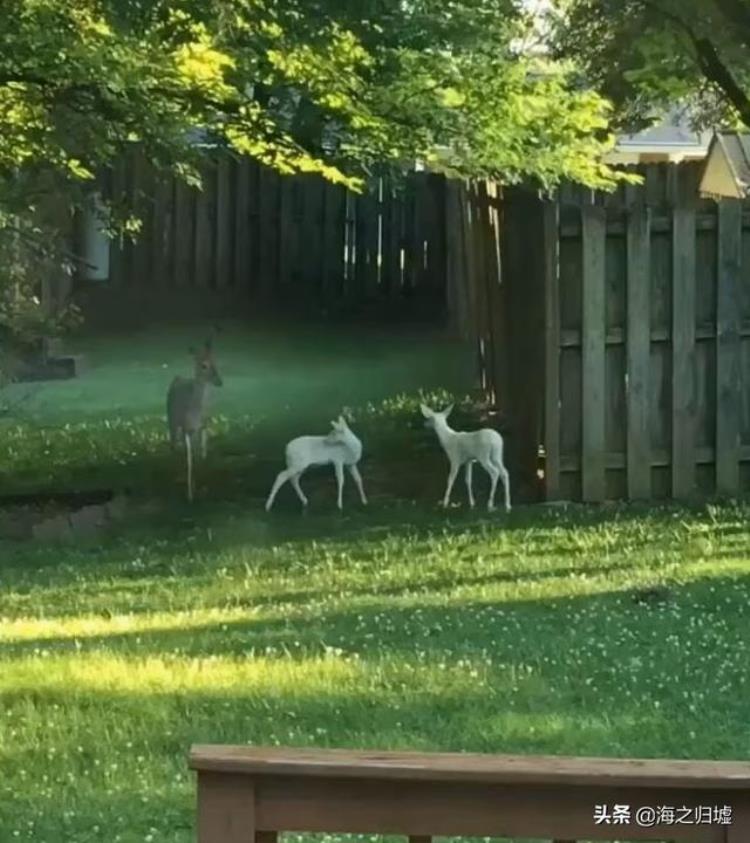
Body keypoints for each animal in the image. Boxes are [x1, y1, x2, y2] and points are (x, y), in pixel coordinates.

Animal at [166, 338, 222, 502]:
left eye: (215, 361)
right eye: (203, 365)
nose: (219, 381)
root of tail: (177, 378)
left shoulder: (203, 427)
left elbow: (201, 455)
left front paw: (201, 488)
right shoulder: (186, 429)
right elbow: (190, 460)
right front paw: (190, 495)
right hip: (171, 421)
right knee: (173, 445)